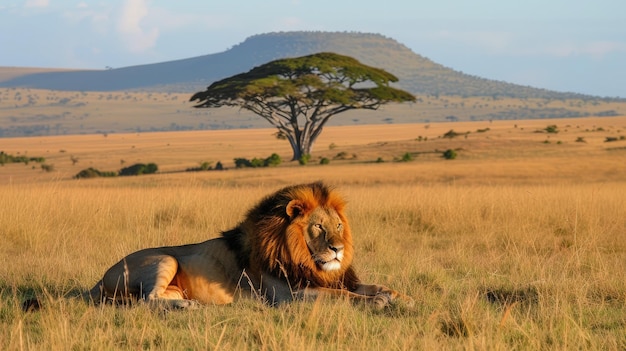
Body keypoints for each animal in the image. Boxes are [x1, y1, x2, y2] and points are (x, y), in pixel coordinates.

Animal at [79, 183, 404, 310]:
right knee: (147, 300)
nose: (338, 249)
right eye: (318, 227)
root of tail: (99, 280)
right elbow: (344, 295)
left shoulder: (329, 278)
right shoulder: (291, 295)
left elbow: (372, 286)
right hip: (164, 259)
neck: (305, 259)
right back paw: (187, 306)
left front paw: (400, 297)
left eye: (338, 226)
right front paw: (377, 302)